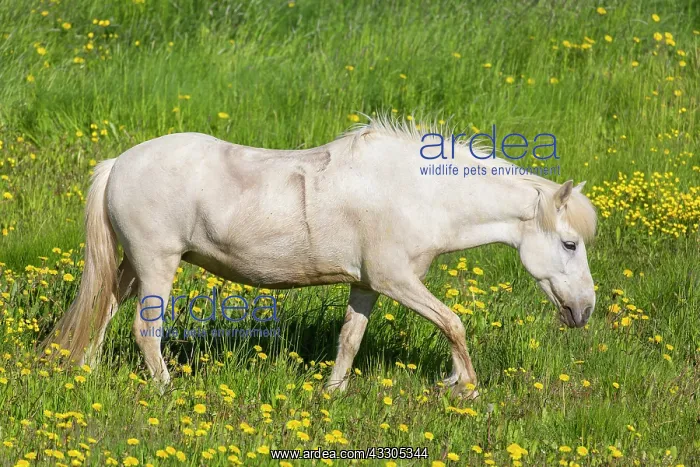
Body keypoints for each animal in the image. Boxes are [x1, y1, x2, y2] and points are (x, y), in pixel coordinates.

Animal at [41, 119, 597, 398]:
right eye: (570, 244)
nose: (584, 310)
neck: (418, 193)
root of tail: (119, 162)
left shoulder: (368, 285)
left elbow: (350, 339)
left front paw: (333, 392)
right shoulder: (397, 281)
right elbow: (453, 323)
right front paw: (465, 388)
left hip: (132, 266)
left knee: (104, 309)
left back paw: (85, 370)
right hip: (158, 263)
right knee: (144, 330)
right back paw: (165, 391)